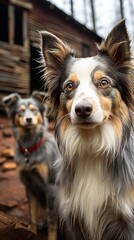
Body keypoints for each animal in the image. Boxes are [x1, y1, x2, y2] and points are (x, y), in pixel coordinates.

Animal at [1, 92, 58, 240]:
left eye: (34, 110)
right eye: (20, 111)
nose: (28, 119)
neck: (29, 149)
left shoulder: (51, 187)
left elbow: (52, 220)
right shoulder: (30, 185)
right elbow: (32, 214)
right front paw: (32, 231)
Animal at [40, 19, 134, 239]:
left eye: (104, 82)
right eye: (69, 86)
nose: (82, 110)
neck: (92, 147)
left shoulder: (125, 221)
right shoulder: (74, 218)